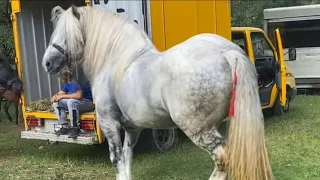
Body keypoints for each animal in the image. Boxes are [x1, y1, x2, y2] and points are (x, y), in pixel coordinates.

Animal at [41, 5, 274, 180]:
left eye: (65, 35)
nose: (47, 63)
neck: (117, 62)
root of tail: (228, 53)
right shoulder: (132, 128)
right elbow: (127, 157)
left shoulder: (109, 124)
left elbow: (117, 159)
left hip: (199, 129)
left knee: (223, 160)